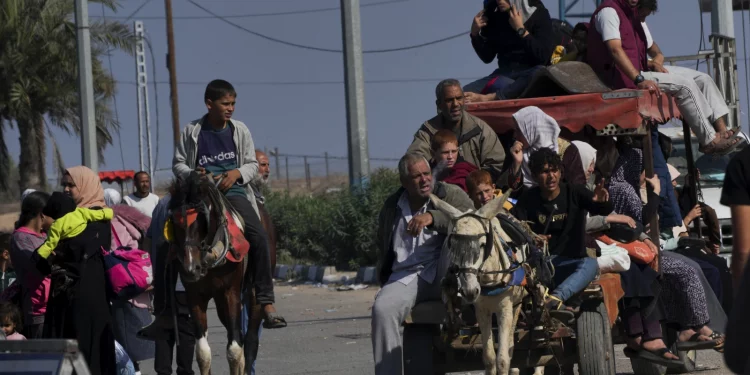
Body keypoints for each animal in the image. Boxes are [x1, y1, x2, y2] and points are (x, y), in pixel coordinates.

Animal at [169, 176, 251, 375]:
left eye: (202, 219)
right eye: (173, 222)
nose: (191, 269)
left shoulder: (231, 293)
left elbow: (234, 350)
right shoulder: (194, 296)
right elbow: (203, 353)